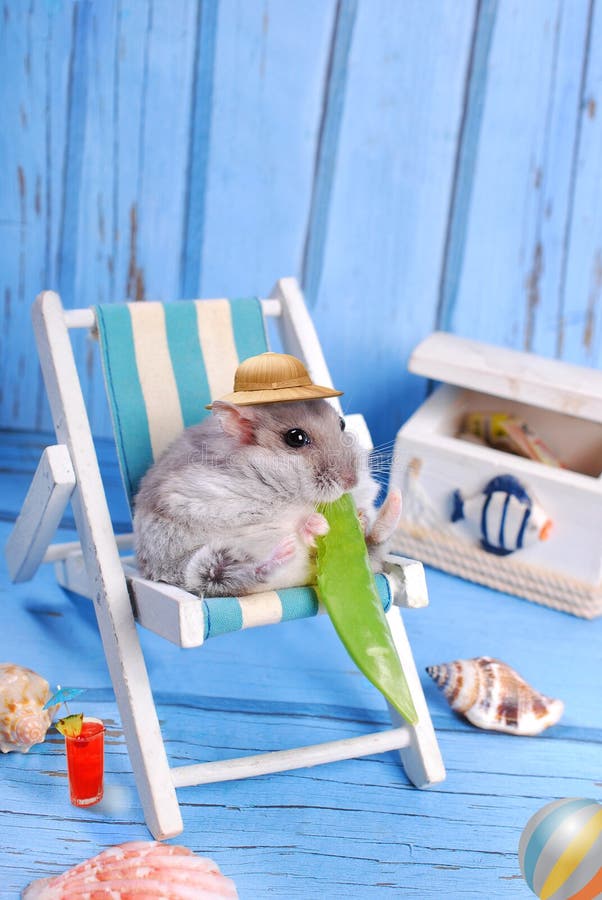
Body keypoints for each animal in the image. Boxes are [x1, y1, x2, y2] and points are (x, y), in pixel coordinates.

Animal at [134, 400, 400, 596]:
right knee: (249, 574)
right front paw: (315, 524)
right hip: (201, 568)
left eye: (342, 424)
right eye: (296, 438)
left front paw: (360, 516)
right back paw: (286, 549)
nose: (351, 482)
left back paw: (393, 502)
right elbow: (283, 516)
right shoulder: (203, 500)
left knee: (375, 540)